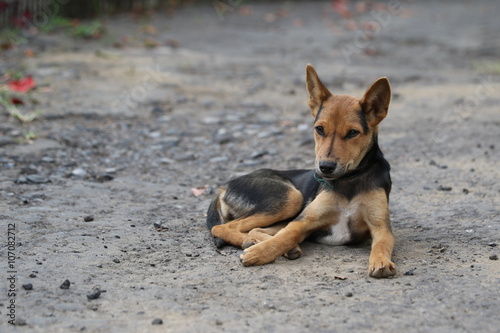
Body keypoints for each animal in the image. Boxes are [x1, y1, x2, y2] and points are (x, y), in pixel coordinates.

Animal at [206, 63, 394, 276]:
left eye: (353, 133)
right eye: (319, 129)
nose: (325, 167)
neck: (350, 180)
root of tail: (224, 186)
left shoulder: (381, 228)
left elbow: (382, 244)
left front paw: (381, 262)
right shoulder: (304, 220)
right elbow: (287, 235)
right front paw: (260, 253)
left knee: (251, 229)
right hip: (290, 198)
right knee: (222, 227)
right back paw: (252, 243)